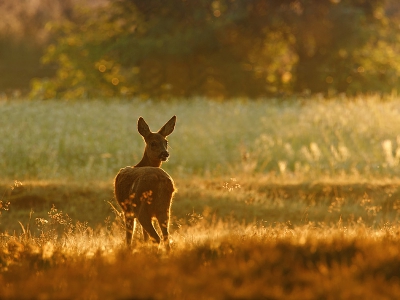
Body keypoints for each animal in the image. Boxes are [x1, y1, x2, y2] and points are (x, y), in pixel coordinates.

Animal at [112, 116, 175, 250]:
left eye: (166, 142)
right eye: (153, 143)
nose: (165, 153)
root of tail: (161, 182)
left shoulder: (127, 210)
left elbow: (129, 237)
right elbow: (145, 237)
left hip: (143, 209)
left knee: (156, 237)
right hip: (165, 209)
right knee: (166, 238)